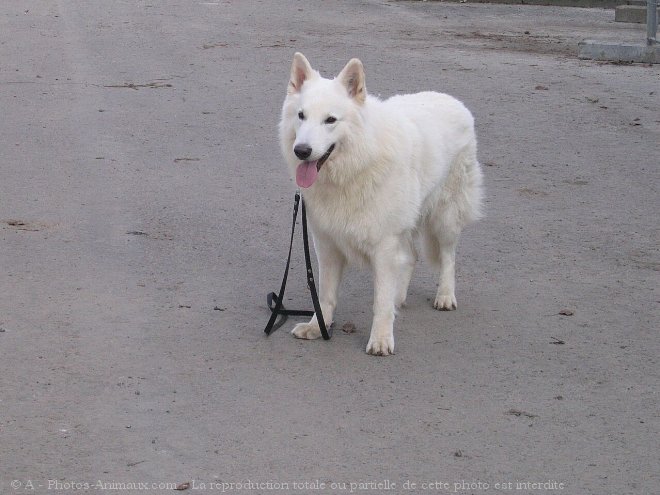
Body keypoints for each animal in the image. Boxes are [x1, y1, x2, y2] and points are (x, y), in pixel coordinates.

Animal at [278, 53, 484, 356]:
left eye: (330, 120)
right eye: (301, 116)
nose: (301, 151)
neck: (354, 167)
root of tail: (453, 101)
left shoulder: (384, 246)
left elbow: (380, 302)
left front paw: (381, 339)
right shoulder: (327, 245)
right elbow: (325, 295)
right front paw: (319, 327)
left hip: (444, 218)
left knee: (448, 256)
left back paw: (445, 296)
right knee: (411, 256)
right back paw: (400, 297)